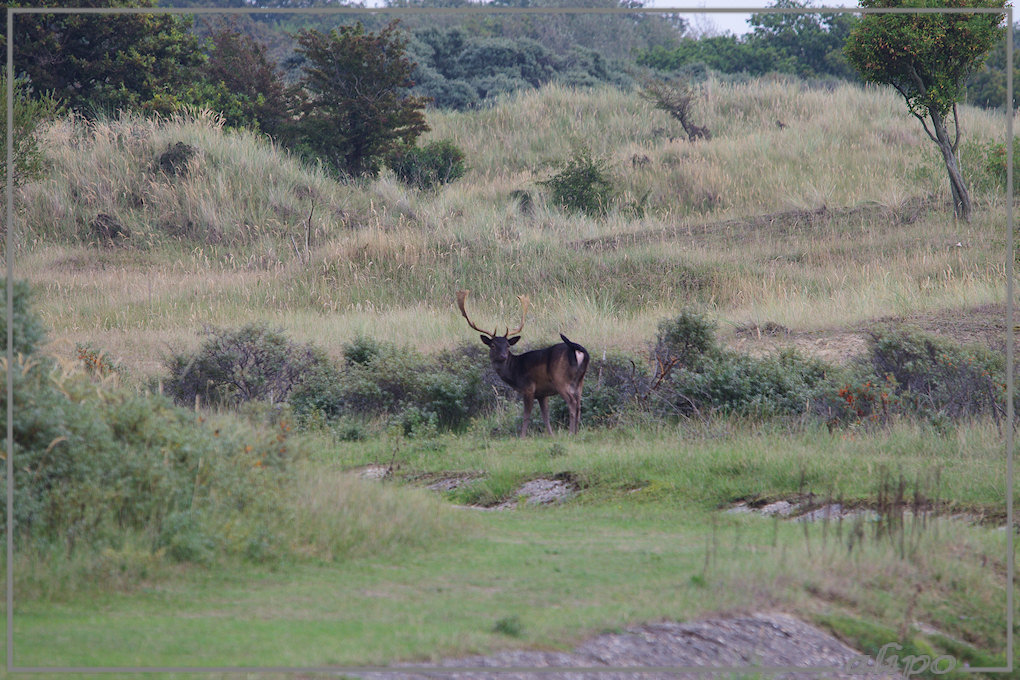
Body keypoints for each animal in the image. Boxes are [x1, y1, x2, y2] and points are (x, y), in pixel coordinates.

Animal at [456, 289, 591, 438]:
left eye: (508, 345)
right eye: (493, 345)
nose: (503, 356)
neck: (515, 372)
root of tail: (578, 350)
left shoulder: (528, 388)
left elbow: (526, 415)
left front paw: (522, 437)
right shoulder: (542, 393)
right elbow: (545, 416)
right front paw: (551, 435)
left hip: (560, 379)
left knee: (572, 403)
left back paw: (571, 433)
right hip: (580, 381)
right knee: (579, 404)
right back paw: (577, 432)